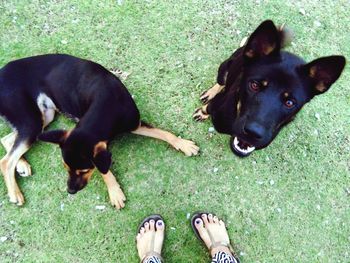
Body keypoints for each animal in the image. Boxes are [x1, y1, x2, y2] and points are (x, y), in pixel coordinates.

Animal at [0, 54, 198, 209]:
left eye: (84, 171)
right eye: (65, 168)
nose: (70, 191)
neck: (107, 104)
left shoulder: (135, 124)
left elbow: (164, 133)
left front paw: (183, 144)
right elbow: (105, 170)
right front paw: (114, 191)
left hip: (43, 117)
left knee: (7, 140)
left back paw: (22, 166)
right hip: (32, 120)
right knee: (6, 160)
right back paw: (15, 191)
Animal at [193, 20, 346, 158]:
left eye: (289, 102)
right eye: (254, 85)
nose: (253, 133)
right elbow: (207, 108)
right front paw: (202, 112)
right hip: (225, 67)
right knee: (221, 82)